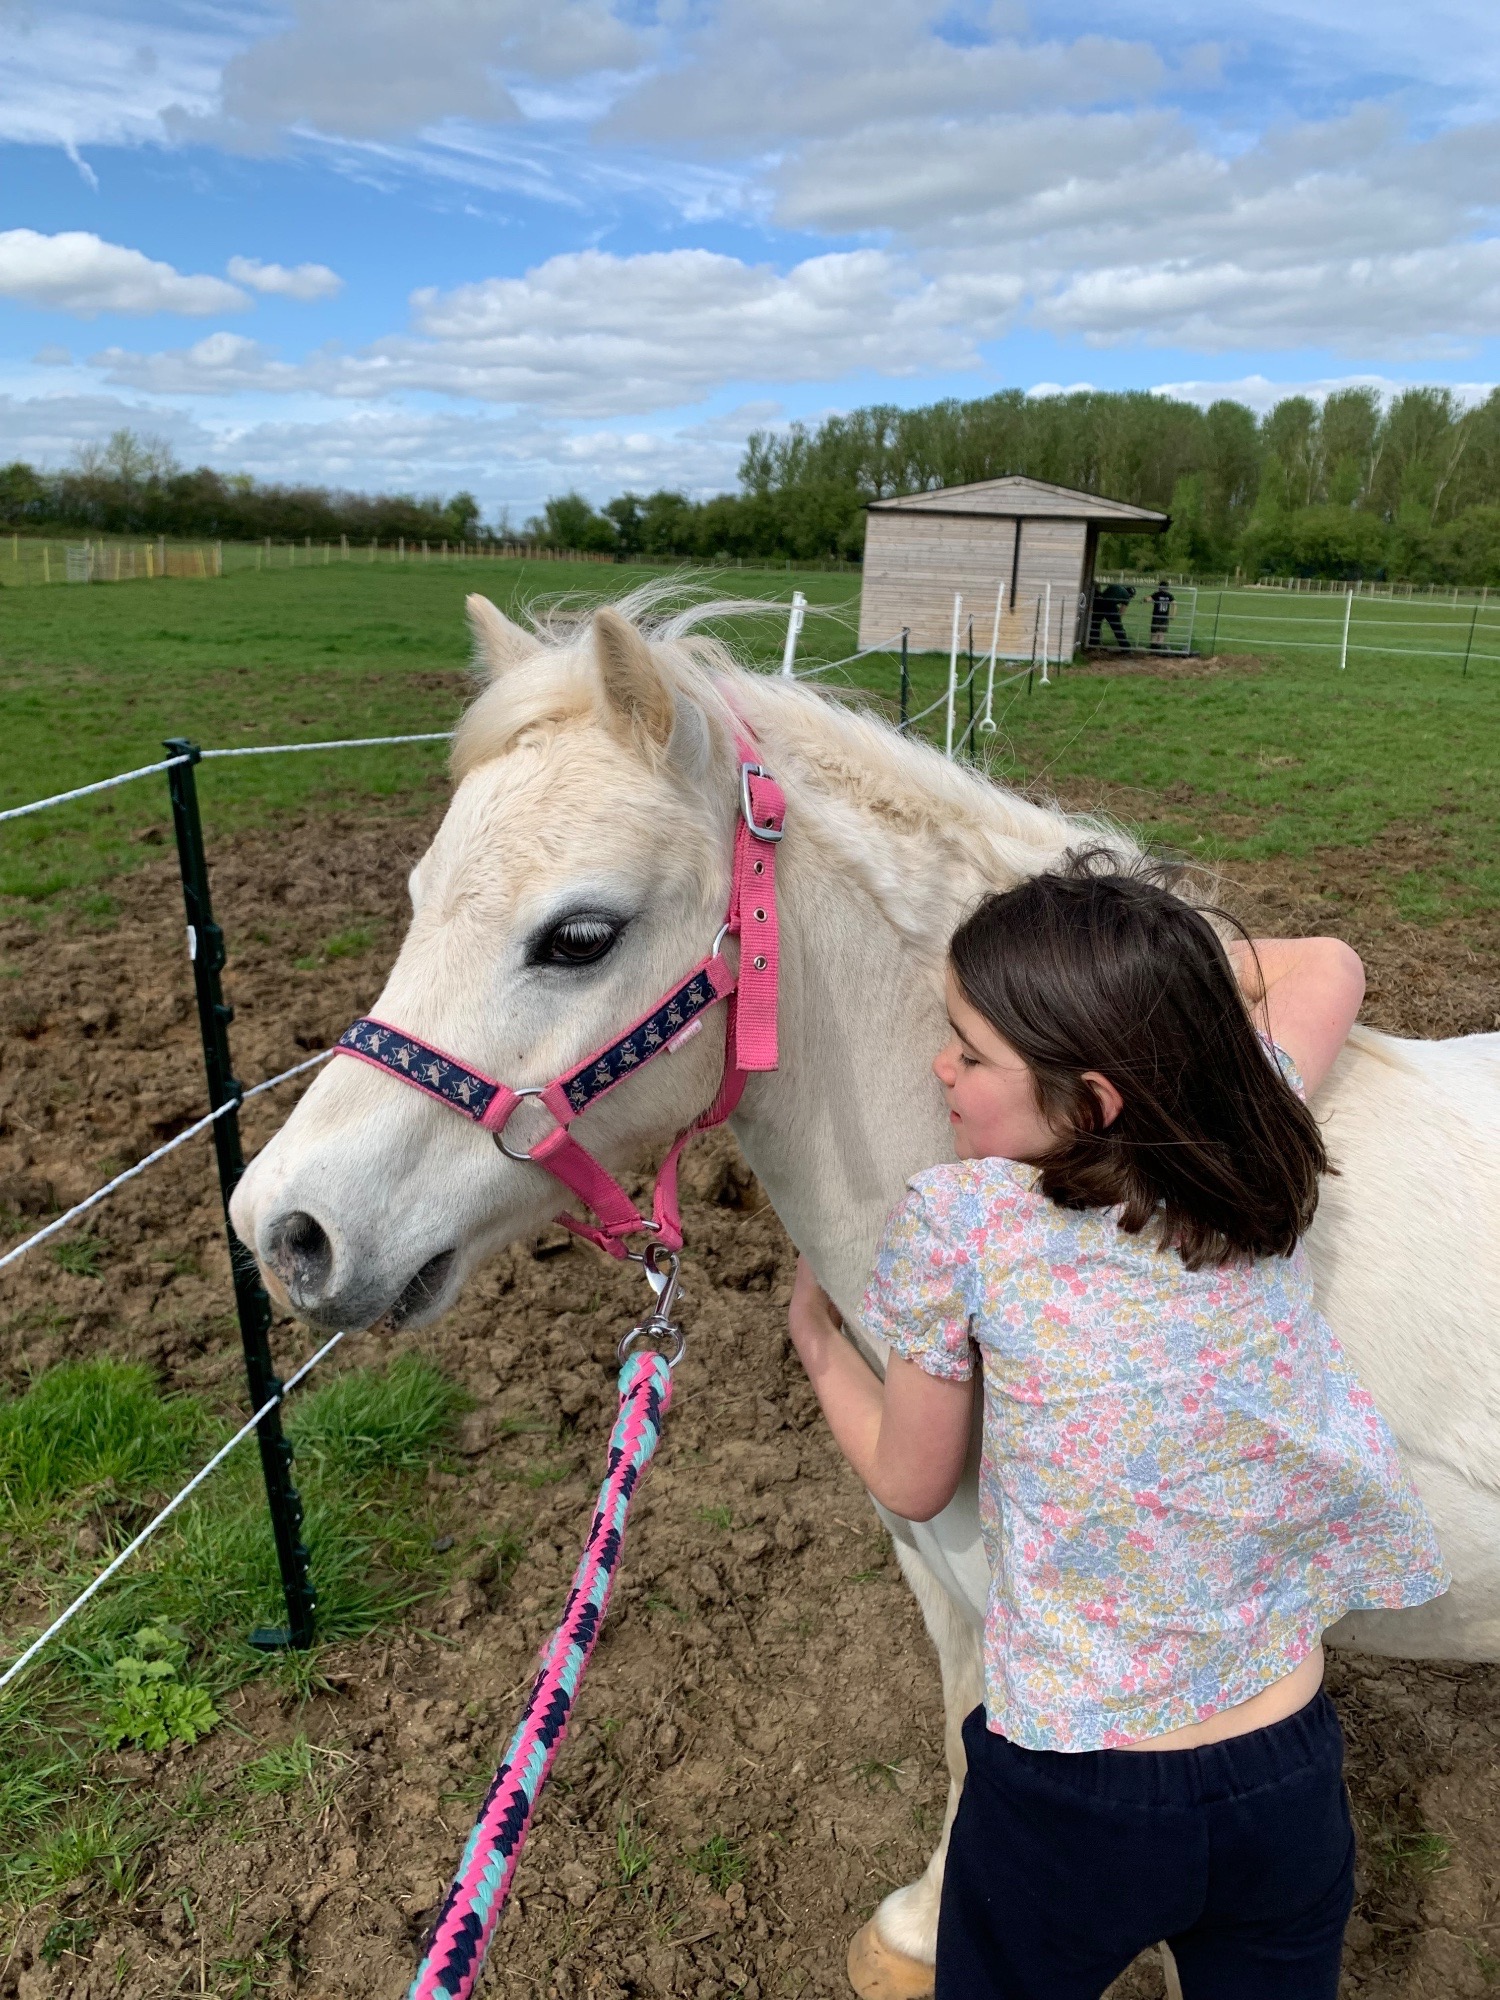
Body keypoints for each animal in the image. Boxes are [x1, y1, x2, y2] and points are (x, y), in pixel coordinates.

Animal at [231, 590, 1500, 1997]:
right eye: (413, 897)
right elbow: (962, 1733)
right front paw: (919, 1928)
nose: (284, 1227)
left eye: (579, 935)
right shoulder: (948, 1576)